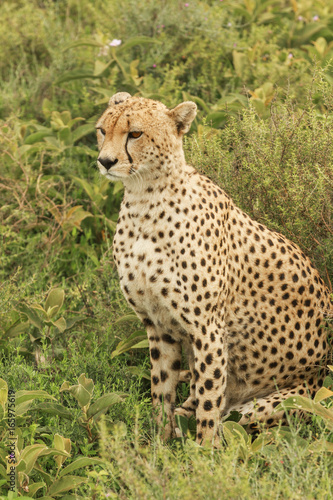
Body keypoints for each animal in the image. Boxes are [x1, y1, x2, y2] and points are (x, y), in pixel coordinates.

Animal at [94, 93, 330, 446]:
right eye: (101, 130)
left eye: (134, 134)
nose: (105, 161)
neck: (144, 200)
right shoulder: (157, 324)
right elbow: (161, 389)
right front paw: (159, 444)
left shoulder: (208, 328)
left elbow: (209, 399)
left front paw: (205, 453)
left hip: (282, 402)